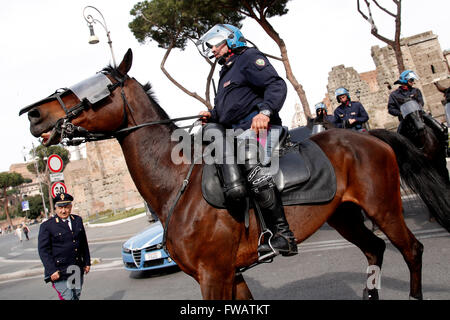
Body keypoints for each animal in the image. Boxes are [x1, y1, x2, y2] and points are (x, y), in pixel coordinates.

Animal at [20, 48, 450, 298]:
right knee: (375, 249)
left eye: (99, 88)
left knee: (411, 250)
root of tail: (368, 137)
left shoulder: (213, 275)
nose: (35, 113)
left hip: (384, 208)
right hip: (344, 215)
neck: (178, 182)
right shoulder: (230, 273)